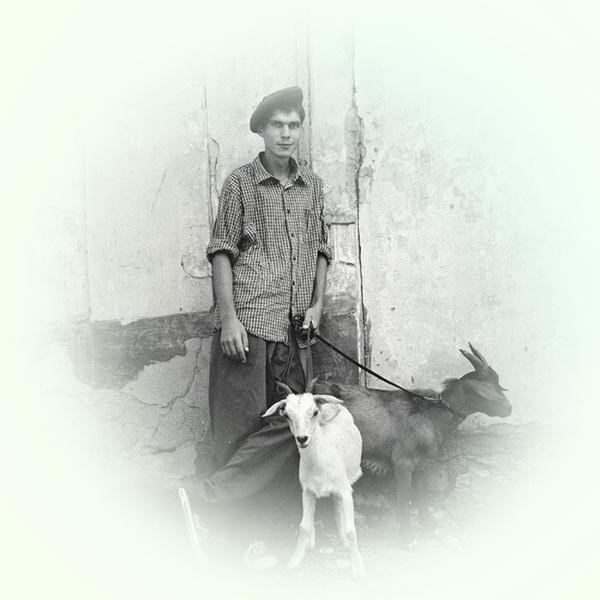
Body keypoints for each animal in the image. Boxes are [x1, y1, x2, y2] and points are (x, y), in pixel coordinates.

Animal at [262, 385, 366, 579]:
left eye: (314, 412)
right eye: (287, 415)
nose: (302, 439)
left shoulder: (344, 490)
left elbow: (351, 531)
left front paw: (358, 568)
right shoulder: (308, 491)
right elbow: (304, 527)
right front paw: (294, 561)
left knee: (338, 509)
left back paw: (343, 542)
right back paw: (312, 542)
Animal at [312, 343, 511, 547]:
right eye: (489, 386)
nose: (508, 409)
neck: (433, 415)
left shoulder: (421, 463)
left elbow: (421, 492)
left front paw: (427, 525)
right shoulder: (403, 461)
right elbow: (405, 496)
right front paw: (408, 537)